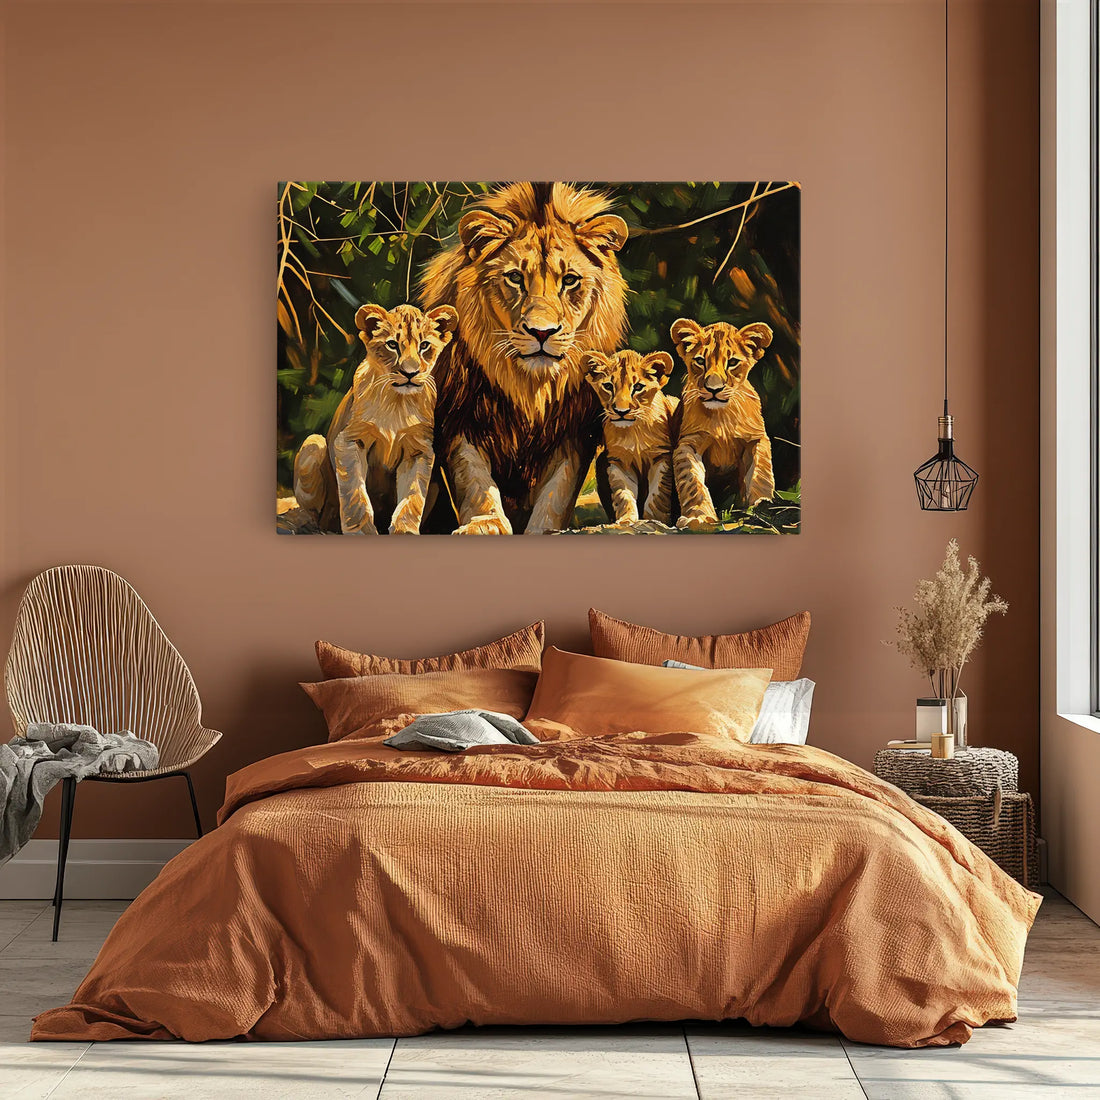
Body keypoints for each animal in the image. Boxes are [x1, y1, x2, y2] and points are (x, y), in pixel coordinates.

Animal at [293, 302, 458, 535]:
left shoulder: (419, 449)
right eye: (392, 345)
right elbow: (355, 495)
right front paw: (360, 531)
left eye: (425, 345)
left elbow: (412, 498)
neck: (396, 402)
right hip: (313, 443)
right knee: (315, 513)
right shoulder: (350, 440)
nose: (410, 373)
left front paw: (405, 531)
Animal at [419, 182, 629, 534]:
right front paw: (485, 523)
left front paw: (545, 529)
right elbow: (474, 482)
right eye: (515, 278)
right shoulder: (460, 418)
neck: (529, 386)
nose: (541, 332)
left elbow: (557, 492)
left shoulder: (573, 432)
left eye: (569, 280)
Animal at [583, 349, 679, 526]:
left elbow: (657, 495)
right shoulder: (618, 462)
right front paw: (626, 520)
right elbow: (624, 495)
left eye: (638, 387)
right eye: (608, 386)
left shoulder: (661, 457)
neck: (633, 431)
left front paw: (654, 520)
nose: (621, 412)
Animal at [669, 318, 775, 529]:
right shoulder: (688, 443)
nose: (714, 389)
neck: (722, 416)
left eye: (732, 362)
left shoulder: (756, 439)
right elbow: (692, 481)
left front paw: (762, 505)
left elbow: (761, 473)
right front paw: (699, 517)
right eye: (700, 361)